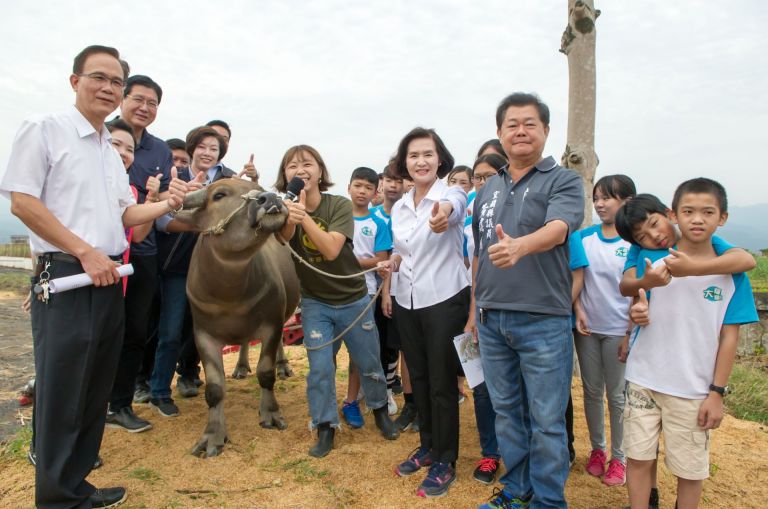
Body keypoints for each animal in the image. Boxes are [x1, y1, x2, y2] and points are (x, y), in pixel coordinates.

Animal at [175, 178, 300, 456]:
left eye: (257, 188)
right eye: (219, 195)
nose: (269, 199)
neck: (229, 296)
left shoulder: (273, 324)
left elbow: (266, 373)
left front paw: (270, 414)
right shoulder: (203, 335)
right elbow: (214, 389)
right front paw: (212, 436)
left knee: (278, 346)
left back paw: (283, 365)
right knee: (243, 342)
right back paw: (241, 367)